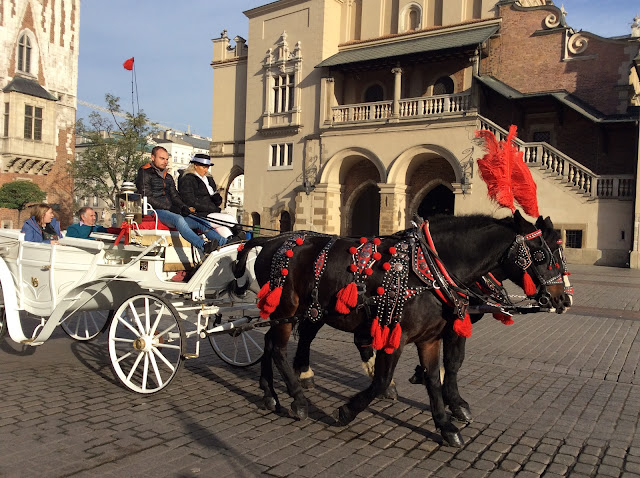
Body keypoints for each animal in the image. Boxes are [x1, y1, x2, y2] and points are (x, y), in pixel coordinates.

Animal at [234, 211, 568, 446]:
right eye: (543, 255)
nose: (562, 299)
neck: (431, 270)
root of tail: (272, 241)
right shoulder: (397, 332)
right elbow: (383, 379)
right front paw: (347, 411)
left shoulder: (431, 336)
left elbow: (438, 374)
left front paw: (446, 421)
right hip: (287, 308)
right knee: (279, 347)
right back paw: (298, 399)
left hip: (297, 311)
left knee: (271, 342)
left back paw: (270, 392)